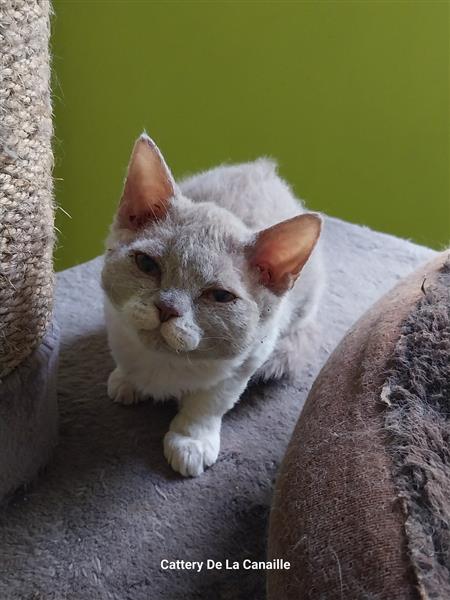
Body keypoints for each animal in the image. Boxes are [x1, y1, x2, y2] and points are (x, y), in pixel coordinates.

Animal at [101, 134, 324, 476]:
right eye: (147, 264)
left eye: (219, 296)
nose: (166, 308)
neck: (166, 363)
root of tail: (263, 169)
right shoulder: (114, 319)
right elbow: (123, 350)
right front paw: (126, 380)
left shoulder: (247, 360)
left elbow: (208, 403)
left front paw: (190, 441)